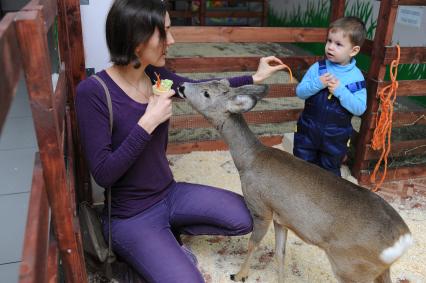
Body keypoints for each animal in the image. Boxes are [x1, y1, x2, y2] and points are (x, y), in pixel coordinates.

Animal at [178, 80, 414, 283]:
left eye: (206, 93)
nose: (181, 86)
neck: (248, 160)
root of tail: (403, 239)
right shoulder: (281, 218)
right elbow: (280, 254)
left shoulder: (260, 207)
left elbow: (253, 244)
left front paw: (239, 275)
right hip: (379, 269)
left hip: (351, 267)